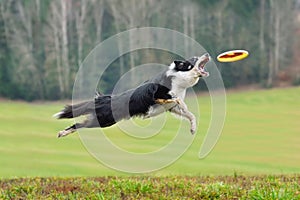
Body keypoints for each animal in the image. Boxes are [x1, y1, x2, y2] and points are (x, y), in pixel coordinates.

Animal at [54, 52, 210, 138]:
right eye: (194, 60)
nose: (207, 54)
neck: (178, 81)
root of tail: (105, 99)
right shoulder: (157, 97)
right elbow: (177, 99)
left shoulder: (171, 108)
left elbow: (190, 115)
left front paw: (193, 129)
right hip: (104, 120)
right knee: (79, 124)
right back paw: (62, 133)